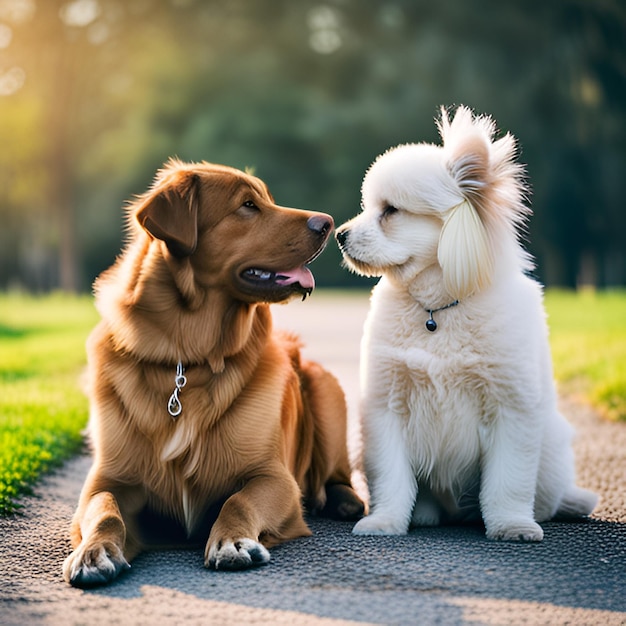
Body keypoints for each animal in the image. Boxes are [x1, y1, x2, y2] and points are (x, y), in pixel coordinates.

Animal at [61, 157, 364, 584]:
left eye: (266, 199)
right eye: (248, 205)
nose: (330, 224)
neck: (189, 356)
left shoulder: (273, 477)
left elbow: (237, 501)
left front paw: (232, 542)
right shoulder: (108, 479)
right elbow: (105, 511)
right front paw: (93, 552)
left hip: (325, 390)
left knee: (338, 476)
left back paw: (346, 502)